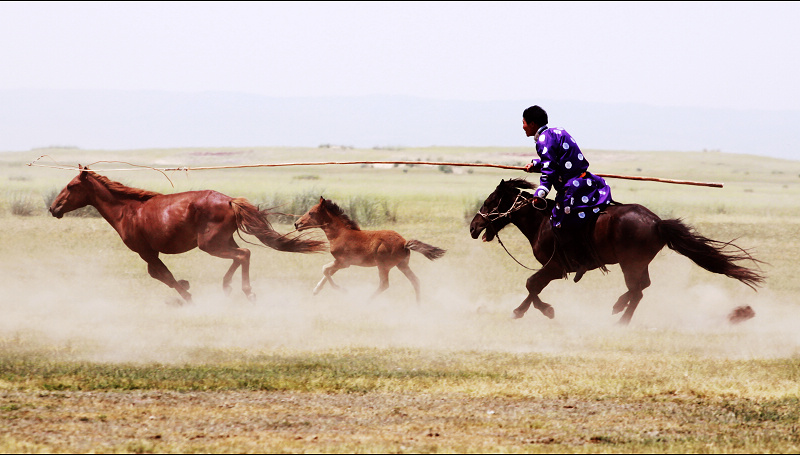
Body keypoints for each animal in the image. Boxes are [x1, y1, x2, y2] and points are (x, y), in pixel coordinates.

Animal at [50, 166, 326, 304]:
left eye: (71, 186)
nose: (53, 208)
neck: (127, 210)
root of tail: (229, 201)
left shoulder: (146, 252)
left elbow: (162, 275)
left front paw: (187, 292)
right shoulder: (149, 253)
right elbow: (159, 274)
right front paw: (186, 286)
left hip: (211, 245)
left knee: (243, 254)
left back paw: (246, 291)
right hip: (222, 241)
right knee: (241, 255)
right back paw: (228, 287)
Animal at [294, 197, 446, 302]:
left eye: (311, 213)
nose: (296, 224)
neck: (340, 233)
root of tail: (404, 242)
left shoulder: (344, 263)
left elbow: (325, 270)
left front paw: (342, 290)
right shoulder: (338, 262)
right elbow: (327, 272)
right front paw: (316, 290)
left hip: (383, 266)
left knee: (384, 285)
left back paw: (367, 301)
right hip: (402, 265)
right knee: (415, 281)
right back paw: (418, 305)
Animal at [468, 178, 764, 324]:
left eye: (490, 201)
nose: (473, 226)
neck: (542, 222)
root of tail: (656, 223)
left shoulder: (556, 267)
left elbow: (532, 284)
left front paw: (537, 311)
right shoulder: (554, 269)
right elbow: (533, 287)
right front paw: (524, 310)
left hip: (629, 263)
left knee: (637, 289)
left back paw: (620, 314)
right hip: (637, 263)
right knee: (641, 287)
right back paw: (621, 310)